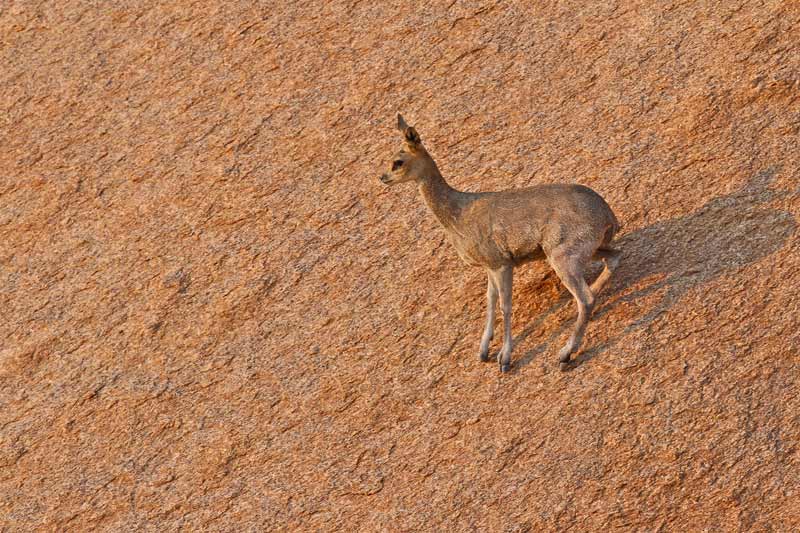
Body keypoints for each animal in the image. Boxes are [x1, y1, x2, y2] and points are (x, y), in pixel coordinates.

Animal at [378, 113, 620, 370]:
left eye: (397, 161)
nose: (382, 177)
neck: (458, 214)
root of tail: (608, 216)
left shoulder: (501, 263)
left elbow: (505, 305)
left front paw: (504, 358)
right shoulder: (489, 266)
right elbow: (491, 301)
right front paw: (483, 351)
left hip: (563, 256)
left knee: (585, 299)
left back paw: (565, 353)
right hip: (587, 249)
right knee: (614, 259)